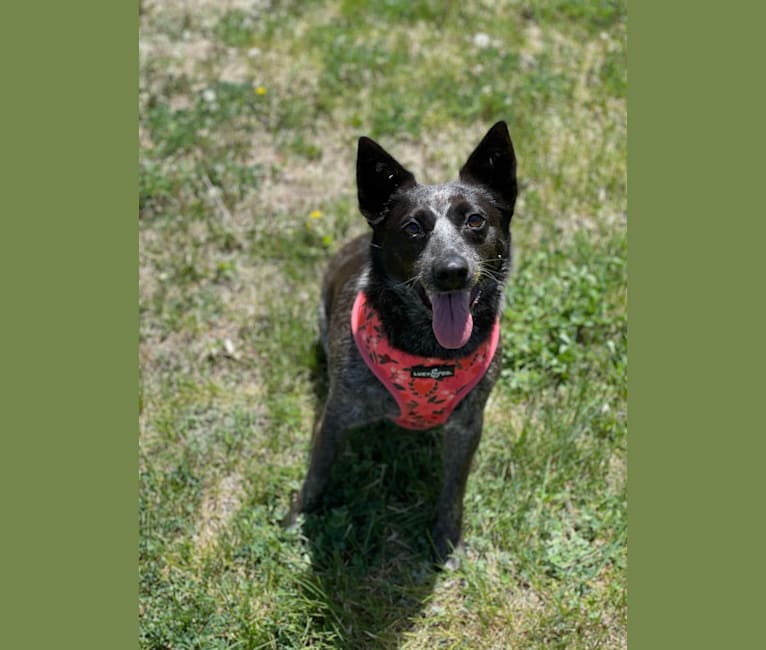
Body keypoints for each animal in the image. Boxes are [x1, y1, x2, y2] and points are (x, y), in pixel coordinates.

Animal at [290, 121, 520, 560]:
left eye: (475, 221)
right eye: (413, 227)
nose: (451, 271)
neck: (428, 355)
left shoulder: (468, 425)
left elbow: (453, 491)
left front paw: (447, 540)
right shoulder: (337, 414)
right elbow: (317, 473)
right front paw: (295, 519)